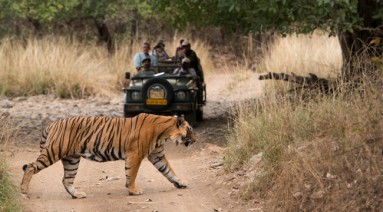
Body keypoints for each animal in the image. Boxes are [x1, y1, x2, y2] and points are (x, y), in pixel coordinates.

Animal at [19, 113, 196, 198]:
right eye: (190, 130)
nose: (195, 140)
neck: (164, 133)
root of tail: (52, 123)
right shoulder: (135, 154)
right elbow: (132, 174)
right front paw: (133, 190)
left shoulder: (156, 155)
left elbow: (169, 171)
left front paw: (181, 183)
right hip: (53, 151)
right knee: (30, 167)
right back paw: (24, 191)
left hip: (72, 159)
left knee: (66, 180)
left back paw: (77, 195)